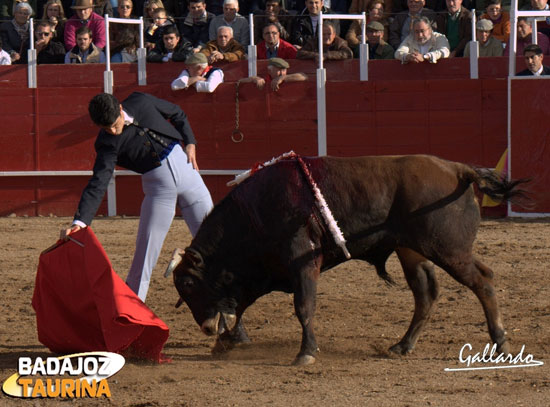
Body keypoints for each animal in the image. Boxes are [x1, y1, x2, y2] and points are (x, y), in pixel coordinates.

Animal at [171, 155, 532, 364]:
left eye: (188, 283)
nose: (205, 328)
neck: (254, 212)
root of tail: (459, 170)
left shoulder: (302, 261)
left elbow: (303, 306)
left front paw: (305, 353)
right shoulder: (259, 274)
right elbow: (240, 306)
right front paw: (227, 341)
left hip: (449, 250)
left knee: (482, 280)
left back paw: (501, 343)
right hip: (412, 251)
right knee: (426, 293)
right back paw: (403, 346)